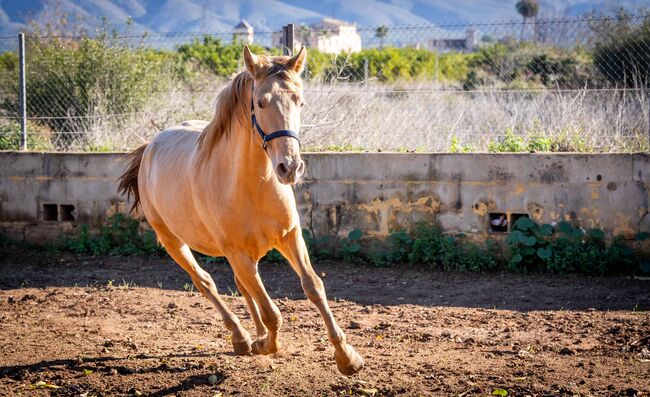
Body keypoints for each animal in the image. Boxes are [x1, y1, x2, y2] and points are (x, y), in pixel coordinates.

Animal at [115, 46, 360, 374]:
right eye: (260, 102)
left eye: (300, 101)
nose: (290, 167)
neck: (251, 185)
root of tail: (149, 148)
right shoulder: (238, 253)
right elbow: (272, 312)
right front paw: (267, 344)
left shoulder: (290, 237)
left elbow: (313, 287)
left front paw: (347, 357)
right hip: (174, 242)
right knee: (206, 283)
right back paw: (242, 338)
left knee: (242, 286)